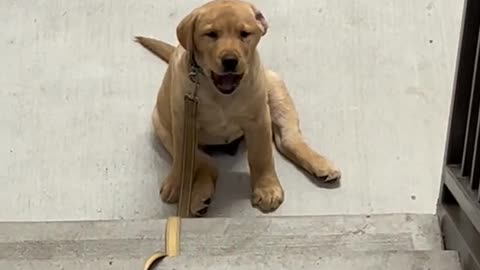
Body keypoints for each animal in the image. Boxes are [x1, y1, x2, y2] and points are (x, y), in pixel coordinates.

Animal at [135, 0, 342, 216]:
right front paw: (175, 184)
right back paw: (200, 196)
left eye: (244, 34)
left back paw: (321, 164)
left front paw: (267, 189)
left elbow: (262, 155)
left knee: (289, 140)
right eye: (211, 34)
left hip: (274, 84)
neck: (220, 94)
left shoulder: (259, 120)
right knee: (206, 163)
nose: (230, 61)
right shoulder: (183, 122)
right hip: (161, 126)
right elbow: (182, 160)